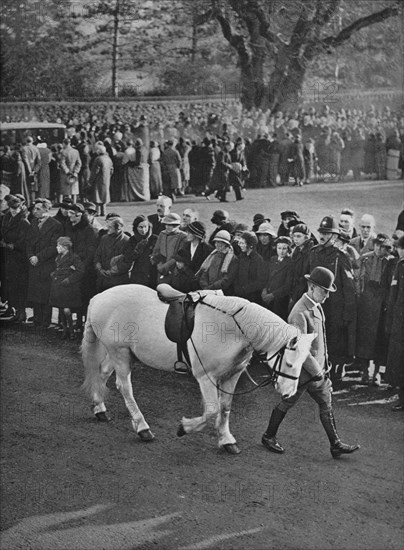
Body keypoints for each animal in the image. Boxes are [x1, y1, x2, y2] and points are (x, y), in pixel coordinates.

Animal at [83, 286, 316, 454]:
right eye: (289, 364)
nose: (288, 393)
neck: (231, 328)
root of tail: (99, 297)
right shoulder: (206, 377)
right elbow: (212, 410)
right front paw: (184, 428)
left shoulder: (232, 375)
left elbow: (225, 407)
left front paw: (226, 439)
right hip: (120, 353)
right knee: (124, 387)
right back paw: (143, 428)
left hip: (121, 354)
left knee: (102, 373)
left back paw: (99, 408)